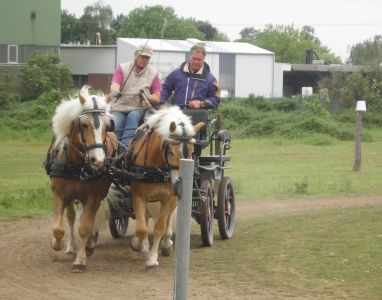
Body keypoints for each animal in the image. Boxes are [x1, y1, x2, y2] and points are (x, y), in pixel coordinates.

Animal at [45, 86, 116, 272]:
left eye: (108, 126)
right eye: (83, 125)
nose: (98, 160)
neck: (78, 165)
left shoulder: (93, 196)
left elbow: (85, 227)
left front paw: (80, 260)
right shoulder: (59, 194)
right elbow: (58, 228)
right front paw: (57, 243)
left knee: (88, 218)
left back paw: (89, 245)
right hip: (71, 196)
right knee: (70, 217)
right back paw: (71, 246)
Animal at [125, 106, 204, 268]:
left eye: (192, 151)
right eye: (171, 151)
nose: (178, 182)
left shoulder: (169, 198)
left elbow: (159, 228)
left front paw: (152, 258)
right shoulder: (138, 196)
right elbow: (141, 229)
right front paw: (138, 245)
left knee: (168, 219)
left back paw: (167, 243)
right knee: (146, 218)